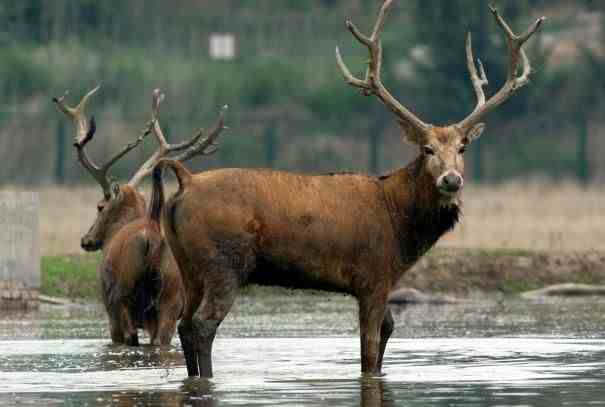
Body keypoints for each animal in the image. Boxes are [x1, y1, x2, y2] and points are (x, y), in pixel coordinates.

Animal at [51, 87, 226, 348]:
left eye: (99, 206)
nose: (86, 239)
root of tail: (152, 236)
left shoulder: (110, 310)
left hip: (123, 297)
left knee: (131, 335)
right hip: (171, 297)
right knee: (162, 339)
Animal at [151, 0, 544, 378]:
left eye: (462, 148)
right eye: (427, 149)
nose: (451, 179)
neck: (400, 223)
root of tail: (185, 180)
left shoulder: (383, 281)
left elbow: (387, 330)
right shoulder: (372, 275)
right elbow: (368, 350)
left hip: (189, 266)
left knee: (183, 324)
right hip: (224, 261)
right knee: (203, 325)